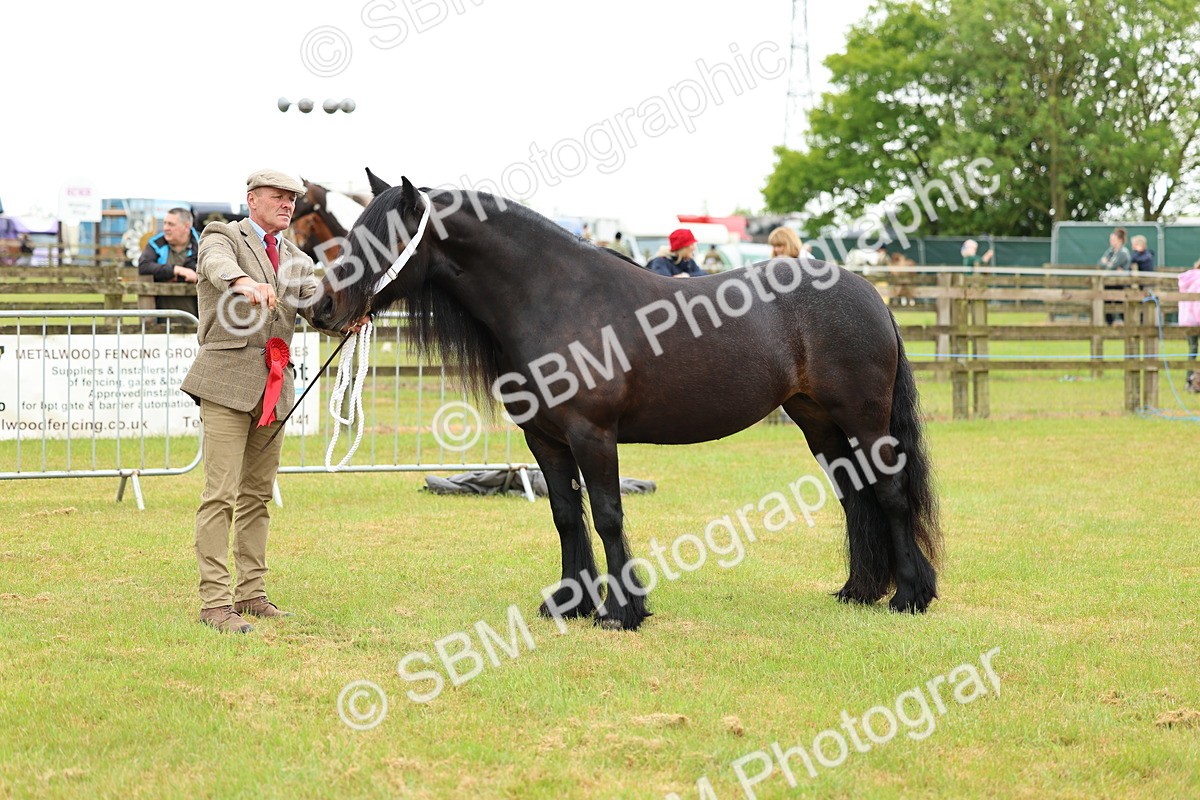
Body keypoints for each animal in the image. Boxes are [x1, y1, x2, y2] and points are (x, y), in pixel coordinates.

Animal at [309, 171, 942, 631]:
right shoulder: (545, 440)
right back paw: (859, 591)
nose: (322, 308)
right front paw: (569, 604)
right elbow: (567, 516)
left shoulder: (593, 434)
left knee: (888, 494)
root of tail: (870, 294)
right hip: (821, 424)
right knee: (855, 496)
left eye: (380, 237)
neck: (555, 297)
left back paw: (909, 597)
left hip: (863, 420)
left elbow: (609, 514)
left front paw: (622, 611)